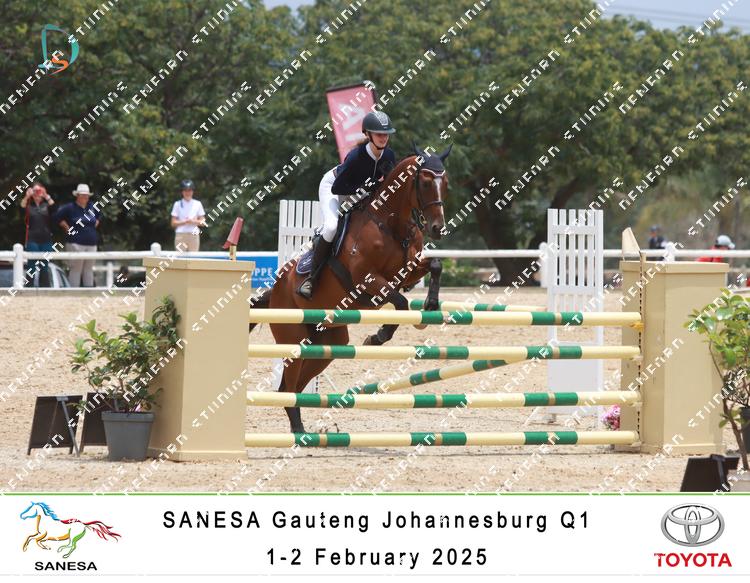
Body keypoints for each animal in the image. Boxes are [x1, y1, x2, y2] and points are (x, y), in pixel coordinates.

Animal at [249, 145, 451, 433]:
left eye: (445, 183)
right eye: (424, 182)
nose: (437, 228)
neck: (391, 223)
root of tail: (276, 289)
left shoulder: (407, 270)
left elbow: (435, 265)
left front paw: (431, 305)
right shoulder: (366, 279)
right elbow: (400, 302)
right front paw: (378, 336)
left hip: (326, 343)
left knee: (295, 386)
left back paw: (303, 431)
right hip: (294, 338)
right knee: (287, 388)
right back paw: (299, 433)